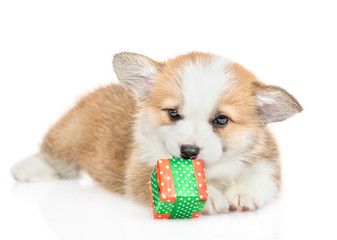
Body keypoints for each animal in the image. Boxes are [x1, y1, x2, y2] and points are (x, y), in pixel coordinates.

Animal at [11, 52, 302, 214]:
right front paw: (208, 198)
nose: (188, 151)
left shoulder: (267, 159)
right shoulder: (141, 169)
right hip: (71, 131)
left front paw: (243, 193)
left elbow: (262, 176)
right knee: (55, 154)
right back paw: (27, 168)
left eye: (221, 120)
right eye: (172, 113)